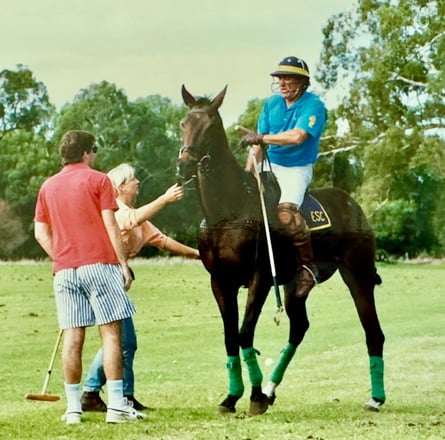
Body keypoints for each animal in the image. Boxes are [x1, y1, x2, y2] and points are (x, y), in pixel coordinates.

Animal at [175, 85, 384, 416]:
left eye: (211, 125)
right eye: (184, 123)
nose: (184, 166)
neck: (228, 211)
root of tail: (353, 203)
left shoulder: (260, 277)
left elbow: (245, 333)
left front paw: (254, 396)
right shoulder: (219, 280)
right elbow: (230, 336)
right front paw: (232, 397)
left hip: (358, 274)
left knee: (373, 331)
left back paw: (375, 398)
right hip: (292, 286)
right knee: (299, 327)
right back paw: (272, 390)